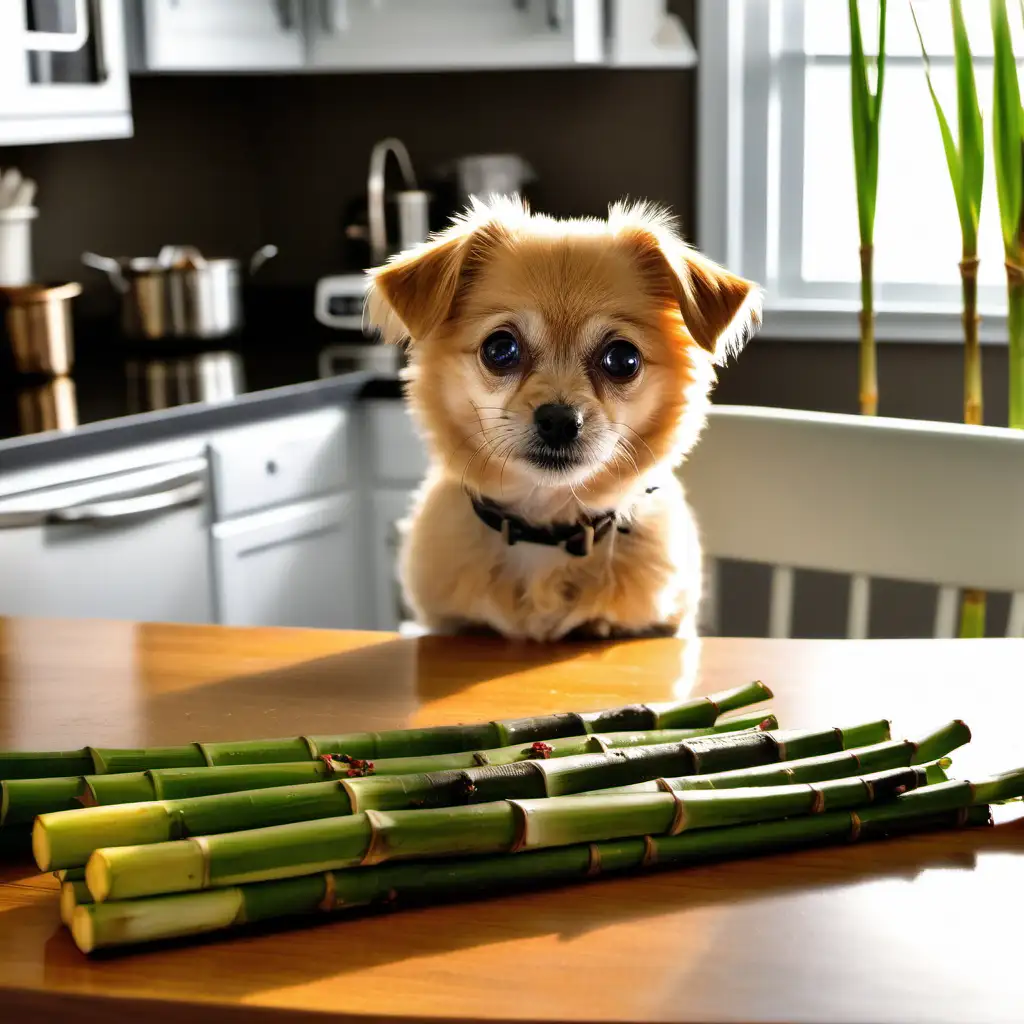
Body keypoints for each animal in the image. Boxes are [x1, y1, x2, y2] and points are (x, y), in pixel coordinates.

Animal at [366, 197, 761, 638]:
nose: (558, 419)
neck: (545, 531)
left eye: (623, 359)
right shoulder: (447, 623)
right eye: (499, 349)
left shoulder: (665, 626)